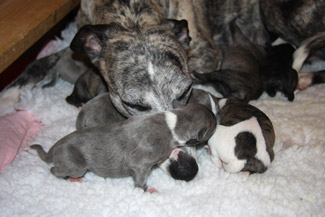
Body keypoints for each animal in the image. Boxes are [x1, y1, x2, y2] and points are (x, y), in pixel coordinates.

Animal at [30, 103, 216, 192]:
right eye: (212, 128)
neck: (174, 122)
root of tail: (56, 145)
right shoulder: (141, 162)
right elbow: (140, 177)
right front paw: (145, 190)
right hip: (75, 165)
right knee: (55, 170)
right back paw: (69, 179)